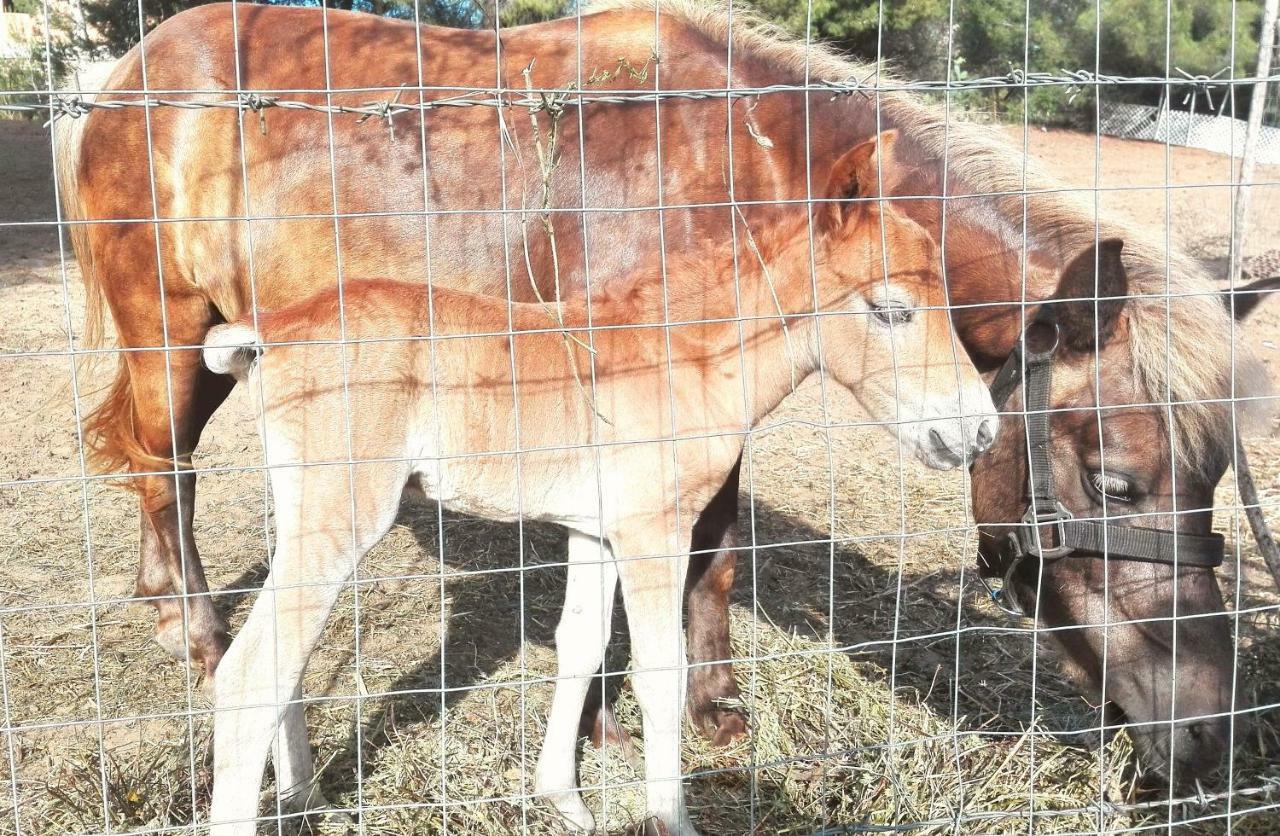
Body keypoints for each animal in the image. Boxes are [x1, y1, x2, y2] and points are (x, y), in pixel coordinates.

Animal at [57, 0, 1259, 783]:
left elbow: (709, 551)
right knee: (163, 464)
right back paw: (194, 629)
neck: (738, 156)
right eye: (1114, 478)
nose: (1208, 735)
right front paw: (623, 722)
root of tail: (125, 73)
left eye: (1211, 486)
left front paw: (705, 707)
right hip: (169, 329)